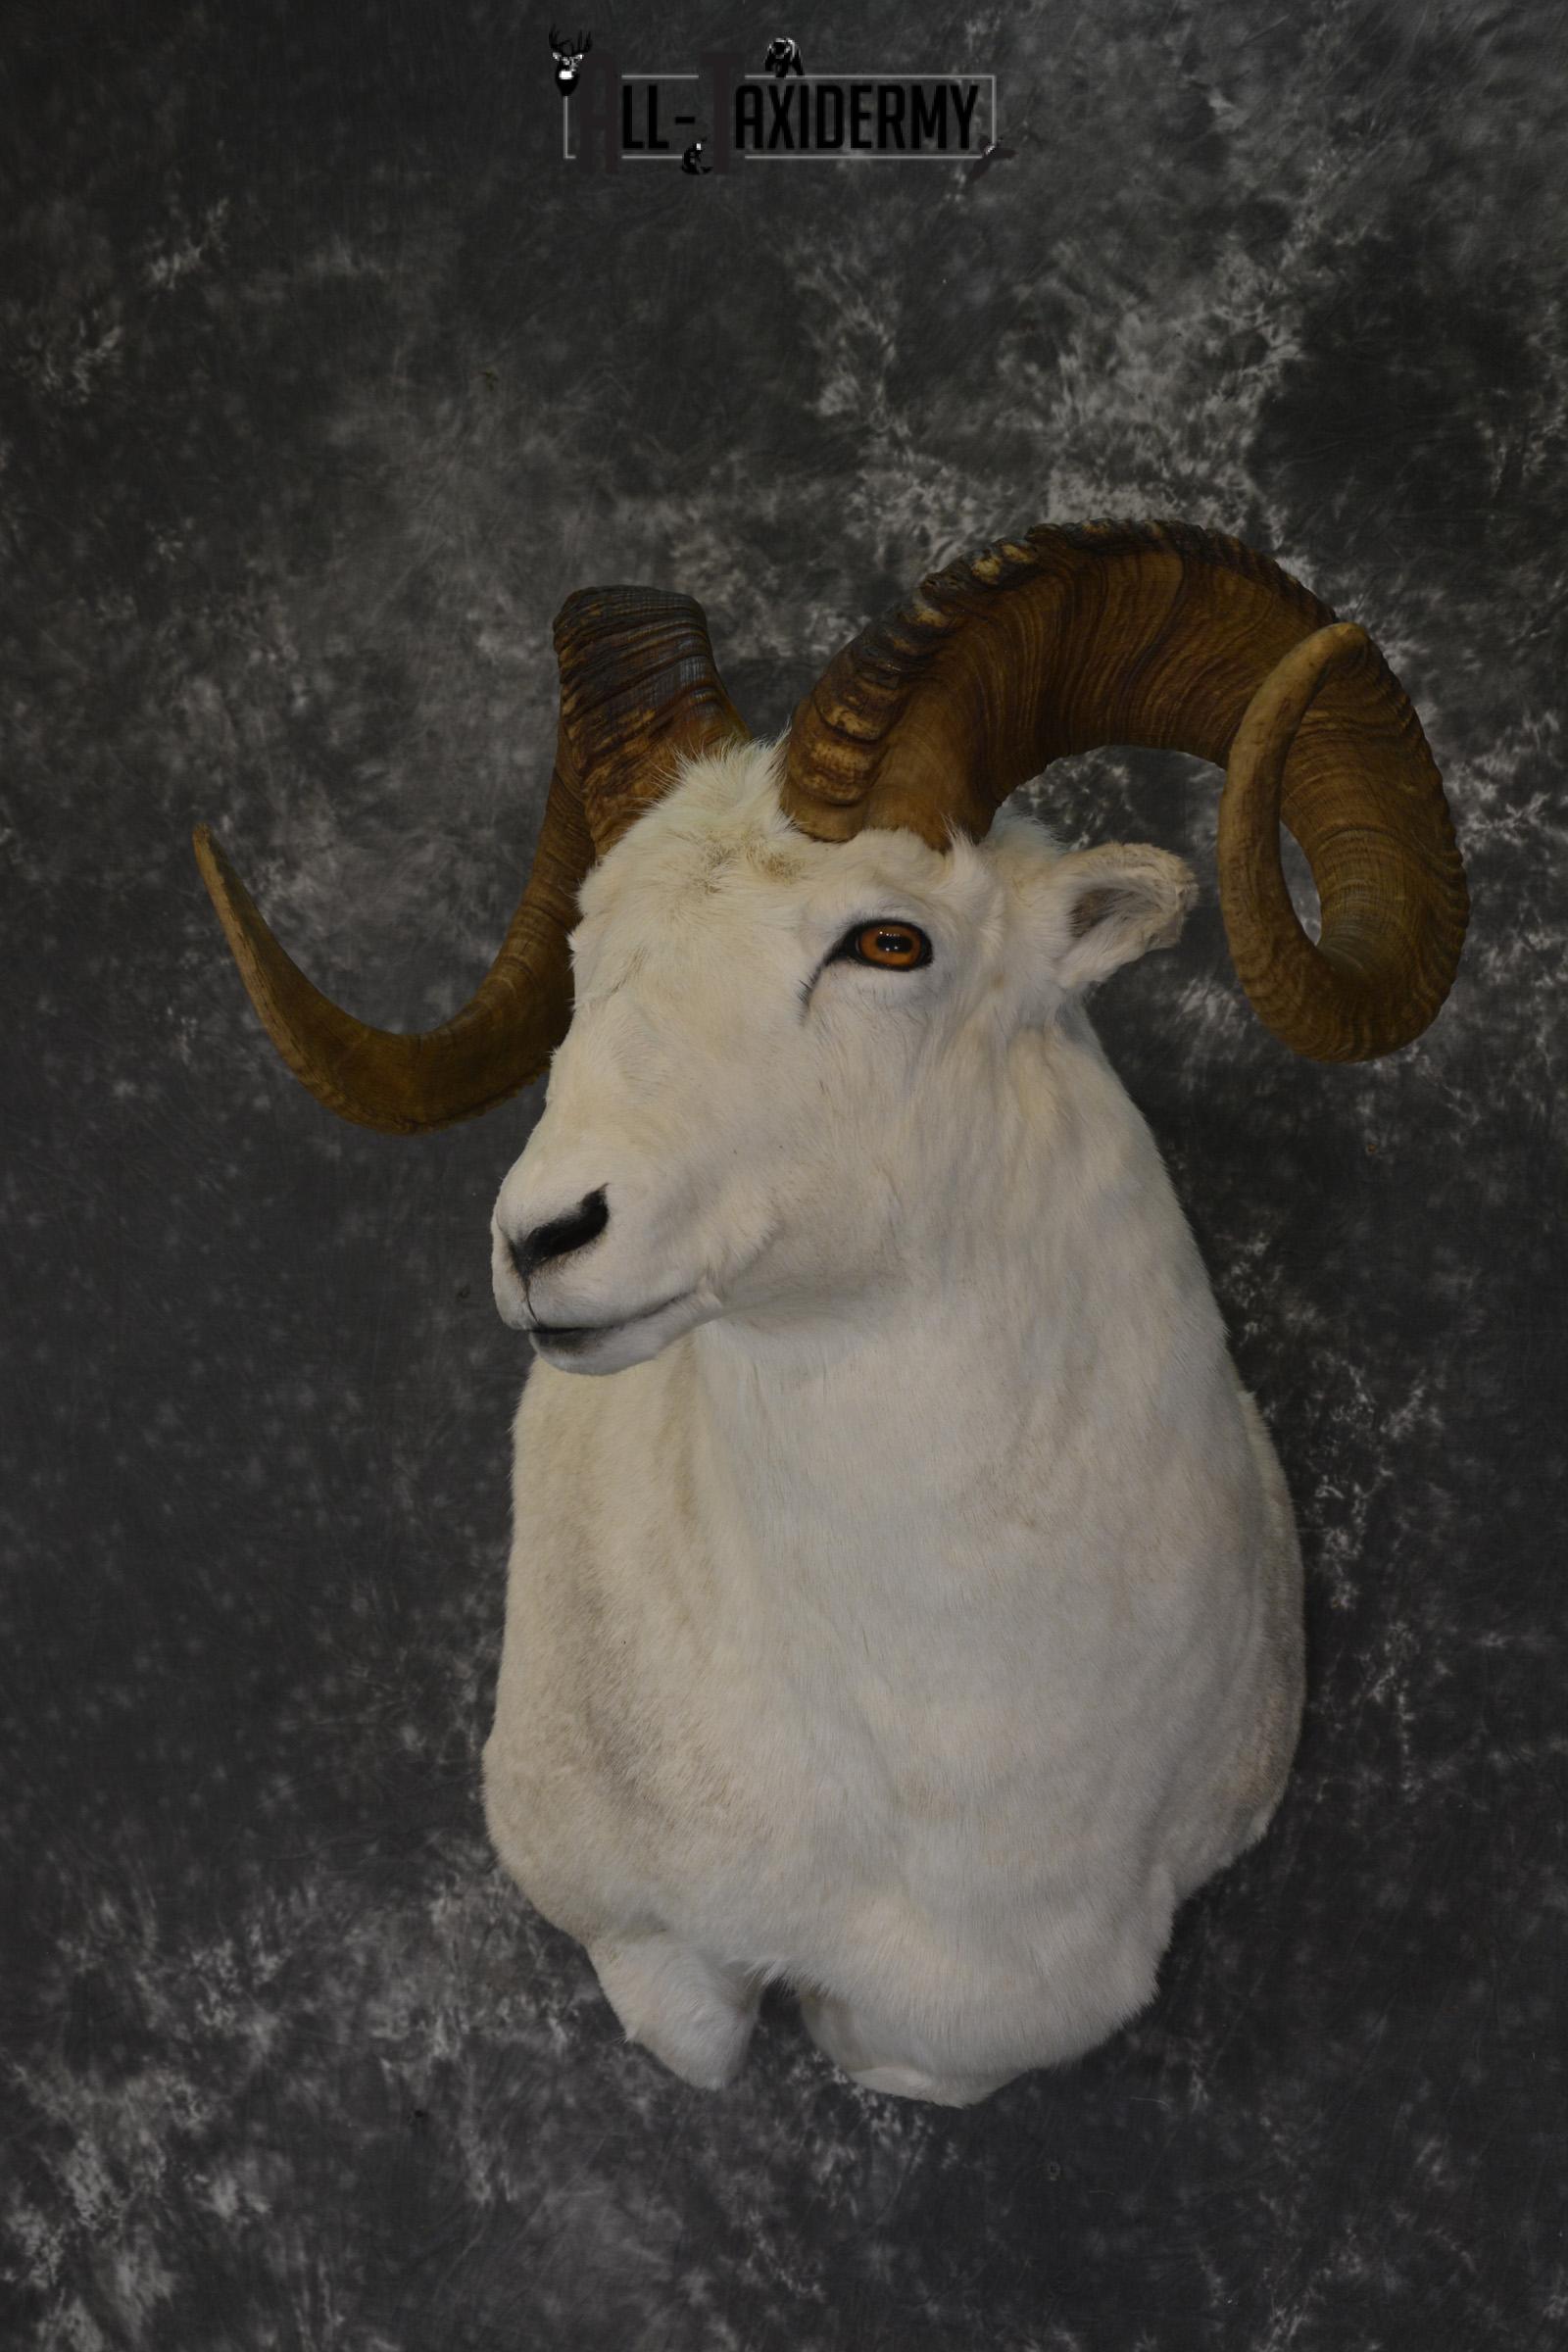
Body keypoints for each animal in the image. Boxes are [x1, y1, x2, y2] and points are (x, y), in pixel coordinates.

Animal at [193, 519, 1469, 2104]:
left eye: (888, 945)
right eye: (586, 952)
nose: (545, 1237)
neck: (942, 1765)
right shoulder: (637, 1939)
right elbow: (702, 2028)